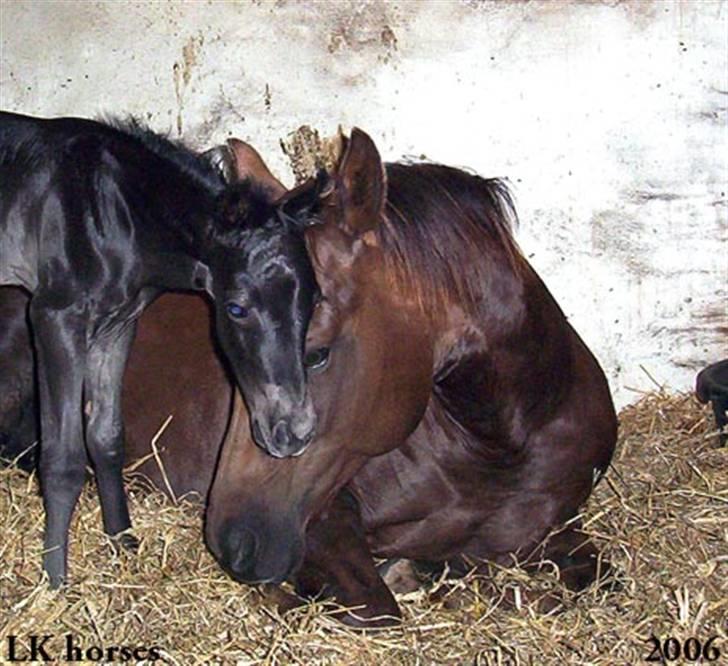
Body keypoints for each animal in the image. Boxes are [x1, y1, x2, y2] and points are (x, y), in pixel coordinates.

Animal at [0, 114, 318, 588]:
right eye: (236, 308)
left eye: (314, 300)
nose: (293, 433)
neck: (119, 213)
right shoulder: (55, 317)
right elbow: (62, 459)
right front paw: (54, 581)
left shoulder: (117, 325)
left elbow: (106, 436)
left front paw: (124, 544)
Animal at [205, 128, 620, 624]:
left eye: (316, 354)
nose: (233, 542)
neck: (500, 446)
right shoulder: (330, 516)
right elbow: (377, 606)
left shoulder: (559, 527)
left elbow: (600, 578)